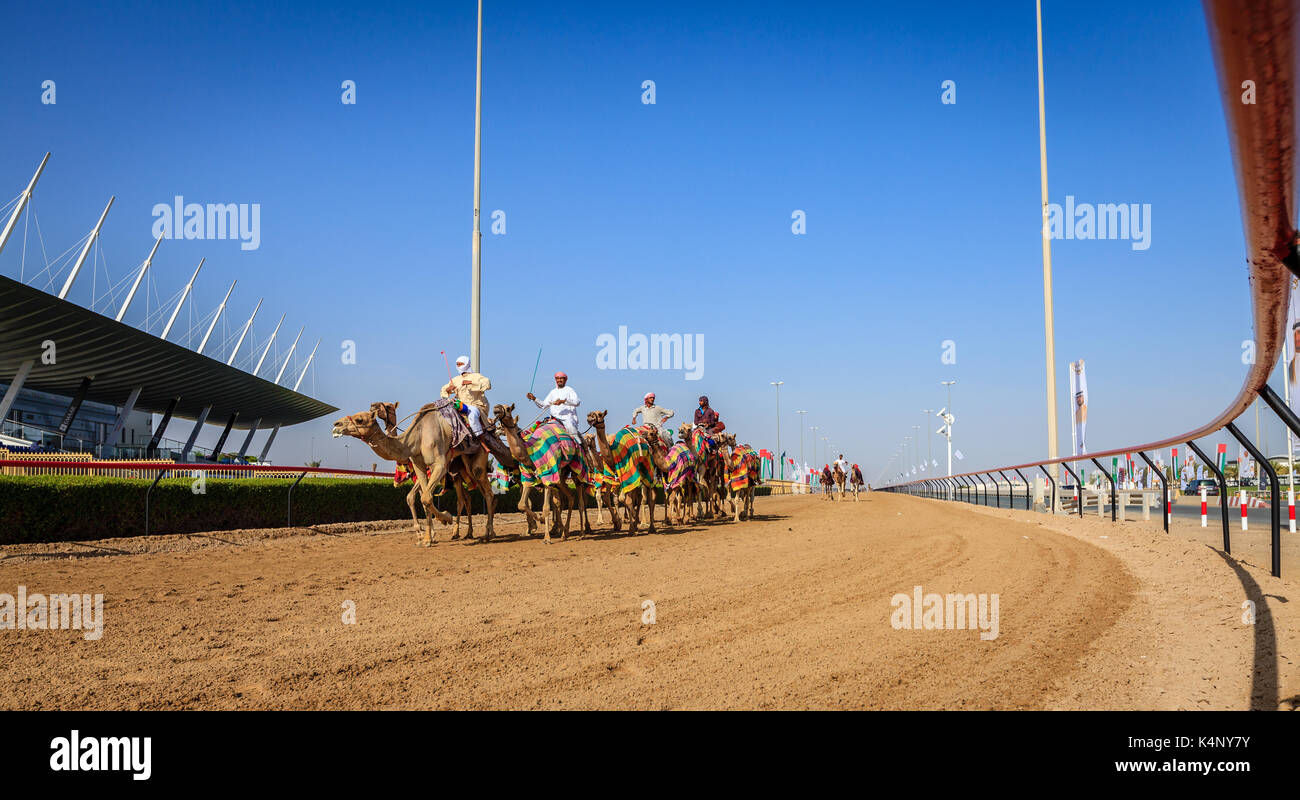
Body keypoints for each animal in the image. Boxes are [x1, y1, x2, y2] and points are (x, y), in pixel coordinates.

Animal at [330, 403, 496, 548]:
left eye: (360, 419)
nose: (337, 423)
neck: (416, 438)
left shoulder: (439, 465)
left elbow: (425, 498)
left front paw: (445, 519)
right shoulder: (419, 466)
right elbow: (423, 499)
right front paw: (427, 539)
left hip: (478, 457)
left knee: (486, 493)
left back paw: (488, 534)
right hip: (462, 469)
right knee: (470, 497)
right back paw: (469, 533)